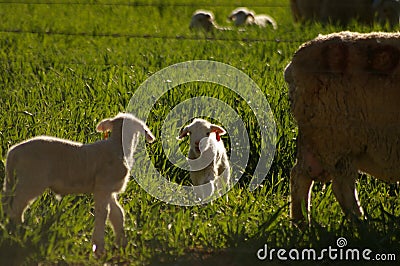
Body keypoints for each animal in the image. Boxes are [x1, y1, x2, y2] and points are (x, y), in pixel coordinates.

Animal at [1, 112, 155, 258]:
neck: (117, 147)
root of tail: (13, 152)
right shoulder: (103, 187)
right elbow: (104, 213)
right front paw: (98, 248)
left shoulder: (109, 191)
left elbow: (117, 214)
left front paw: (121, 244)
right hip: (31, 181)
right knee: (16, 206)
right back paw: (18, 230)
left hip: (13, 181)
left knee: (8, 203)